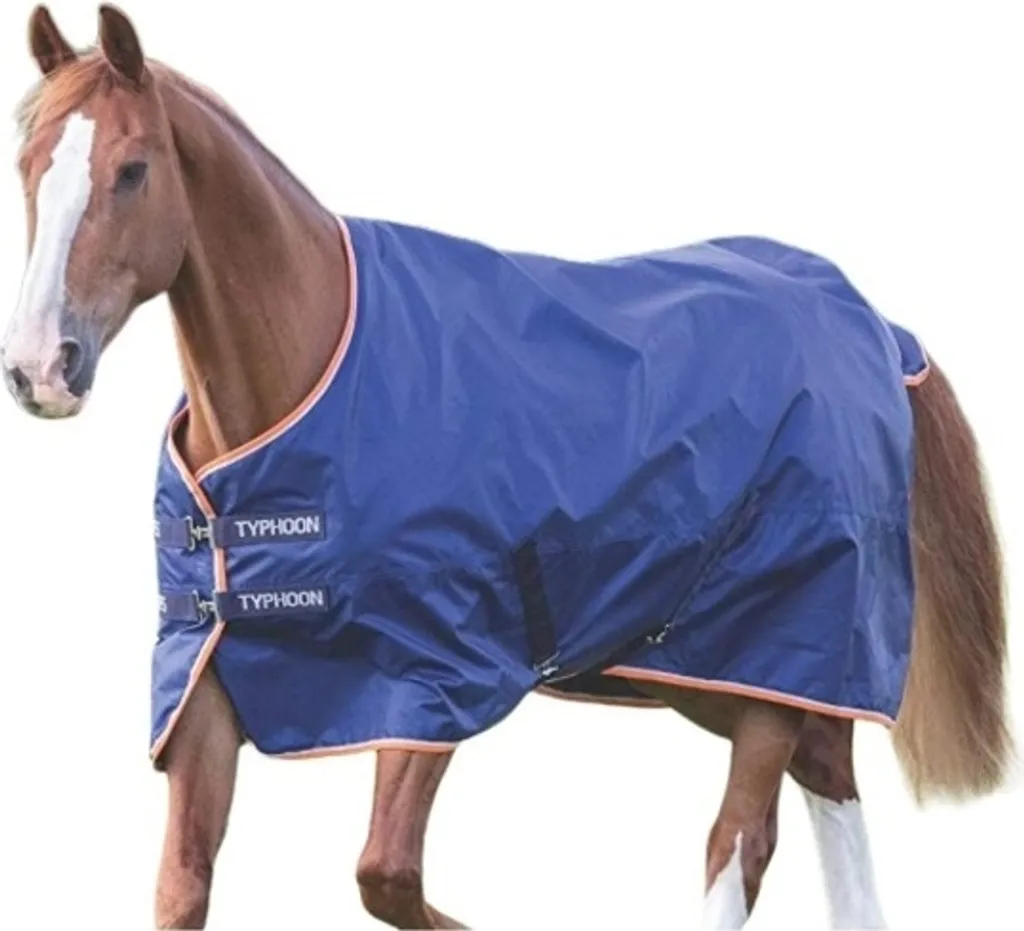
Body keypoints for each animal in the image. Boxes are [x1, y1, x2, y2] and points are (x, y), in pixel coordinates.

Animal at [1, 6, 1012, 929]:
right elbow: (185, 886)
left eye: (132, 170)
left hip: (774, 645)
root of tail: (873, 325)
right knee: (828, 788)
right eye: (28, 166)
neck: (316, 382)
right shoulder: (205, 680)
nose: (41, 367)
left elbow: (387, 874)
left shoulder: (431, 674)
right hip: (730, 672)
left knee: (741, 844)